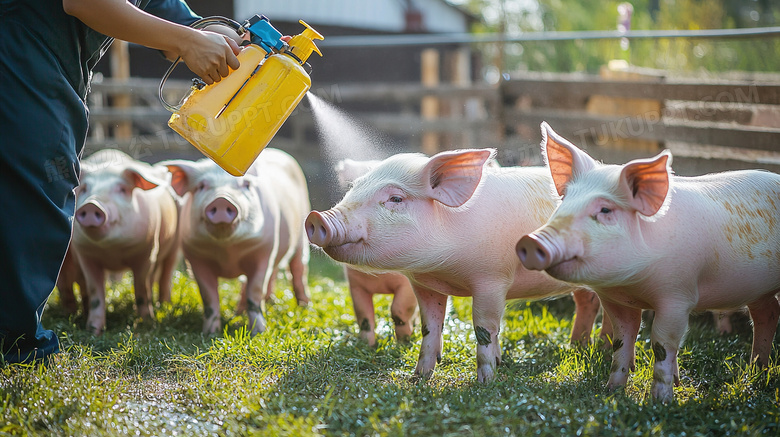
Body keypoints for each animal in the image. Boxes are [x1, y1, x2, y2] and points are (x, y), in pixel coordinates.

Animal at [70, 150, 180, 334]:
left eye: (122, 189)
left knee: (165, 275)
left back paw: (165, 304)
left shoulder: (147, 252)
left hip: (174, 246)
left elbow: (142, 289)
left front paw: (147, 324)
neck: (112, 249)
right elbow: (95, 293)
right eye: (84, 188)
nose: (92, 205)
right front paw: (93, 331)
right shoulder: (85, 255)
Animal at [163, 148, 310, 336]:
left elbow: (255, 292)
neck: (228, 251)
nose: (221, 200)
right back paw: (248, 309)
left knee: (298, 269)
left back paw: (304, 306)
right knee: (266, 276)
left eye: (246, 185)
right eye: (201, 186)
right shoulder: (195, 257)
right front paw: (210, 333)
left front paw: (258, 333)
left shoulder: (264, 251)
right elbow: (209, 296)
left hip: (301, 238)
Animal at [336, 158, 420, 346]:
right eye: (350, 190)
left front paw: (403, 343)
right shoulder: (355, 284)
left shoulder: (408, 283)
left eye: (395, 199)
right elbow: (364, 315)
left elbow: (399, 309)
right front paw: (366, 345)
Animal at [516, 121, 780, 400]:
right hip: (757, 290)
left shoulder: (677, 295)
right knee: (767, 312)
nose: (530, 240)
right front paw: (612, 392)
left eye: (605, 210)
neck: (632, 284)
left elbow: (662, 344)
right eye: (565, 201)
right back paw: (756, 374)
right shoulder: (616, 300)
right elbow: (622, 341)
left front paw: (660, 401)